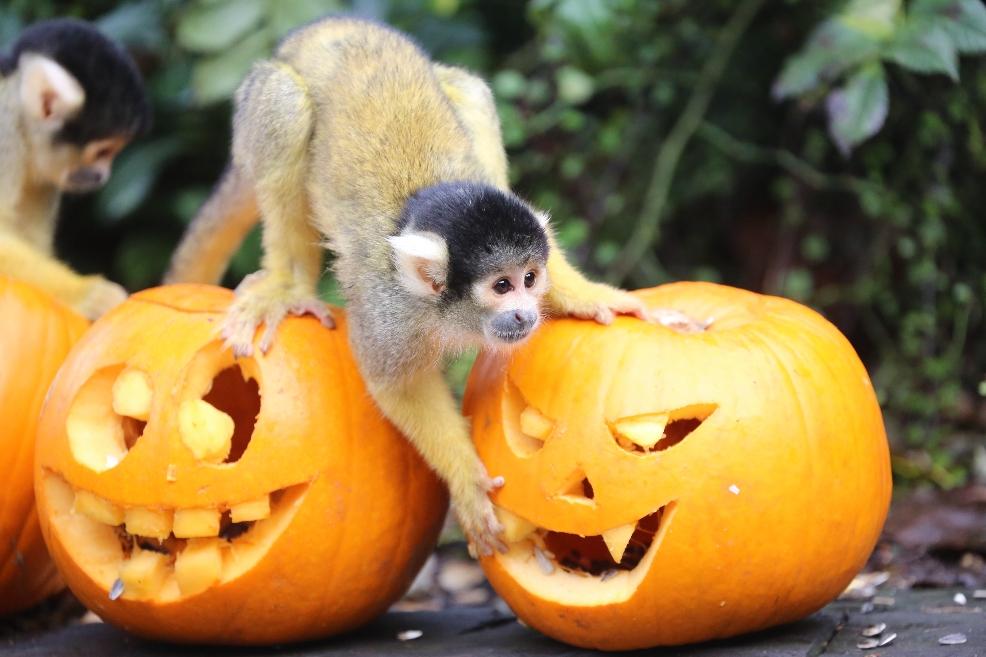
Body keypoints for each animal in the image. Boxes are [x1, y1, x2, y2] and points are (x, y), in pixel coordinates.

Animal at [167, 16, 668, 552]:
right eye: (502, 286)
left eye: (531, 279)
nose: (527, 313)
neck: (440, 310)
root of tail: (317, 29)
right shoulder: (386, 311)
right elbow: (398, 384)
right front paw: (466, 482)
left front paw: (589, 295)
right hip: (258, 100)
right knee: (284, 102)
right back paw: (288, 282)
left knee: (468, 91)